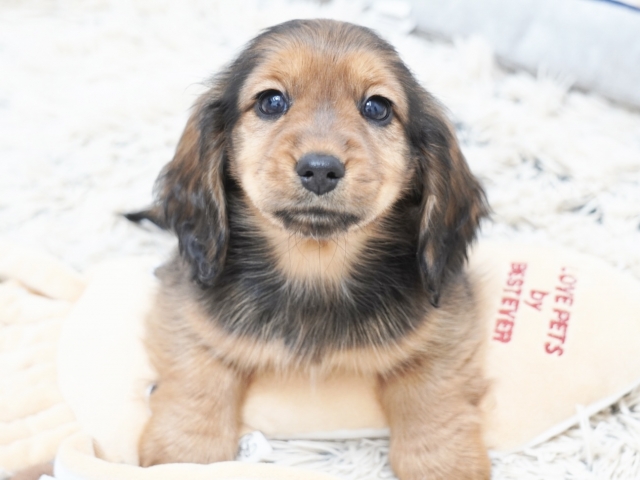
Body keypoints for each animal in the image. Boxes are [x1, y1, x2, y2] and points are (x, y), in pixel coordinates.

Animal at [128, 19, 490, 479]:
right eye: (271, 101)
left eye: (377, 107)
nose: (320, 169)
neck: (314, 265)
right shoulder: (188, 304)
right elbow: (199, 371)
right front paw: (187, 452)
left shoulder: (446, 320)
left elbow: (431, 388)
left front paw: (442, 460)